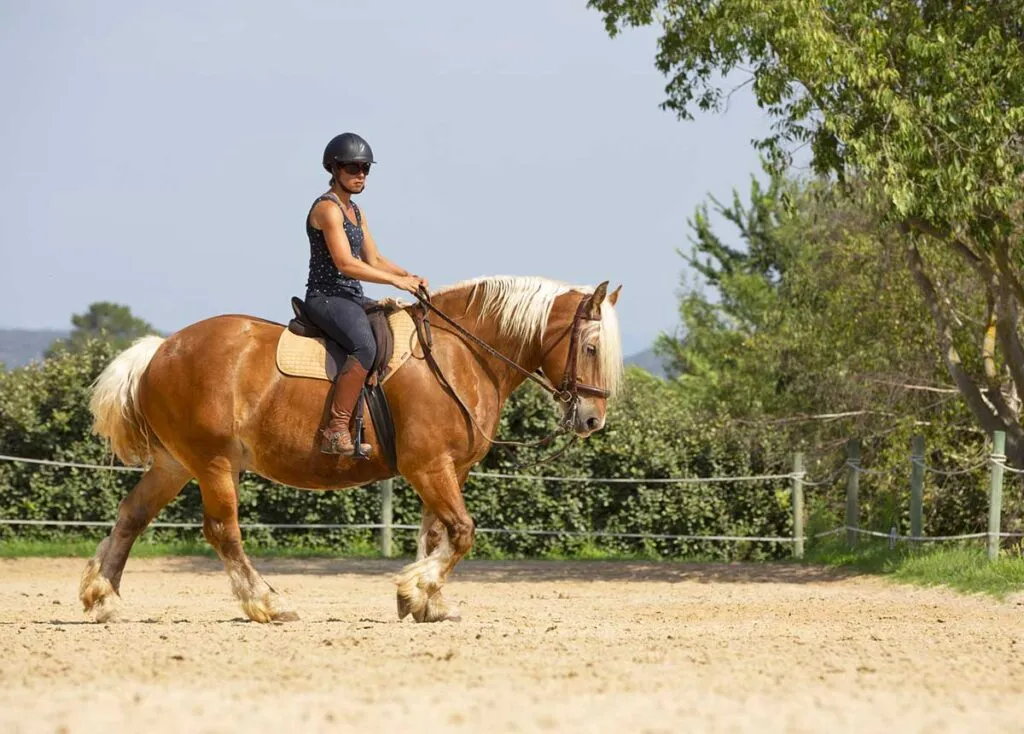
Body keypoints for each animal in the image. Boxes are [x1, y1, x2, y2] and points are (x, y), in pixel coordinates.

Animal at [78, 275, 623, 624]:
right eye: (590, 348)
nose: (592, 420)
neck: (460, 354)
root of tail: (161, 349)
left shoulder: (449, 469)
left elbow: (437, 535)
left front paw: (425, 603)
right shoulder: (429, 466)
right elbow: (463, 533)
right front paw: (414, 589)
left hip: (174, 464)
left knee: (131, 515)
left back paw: (104, 598)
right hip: (213, 463)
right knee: (223, 532)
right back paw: (267, 604)